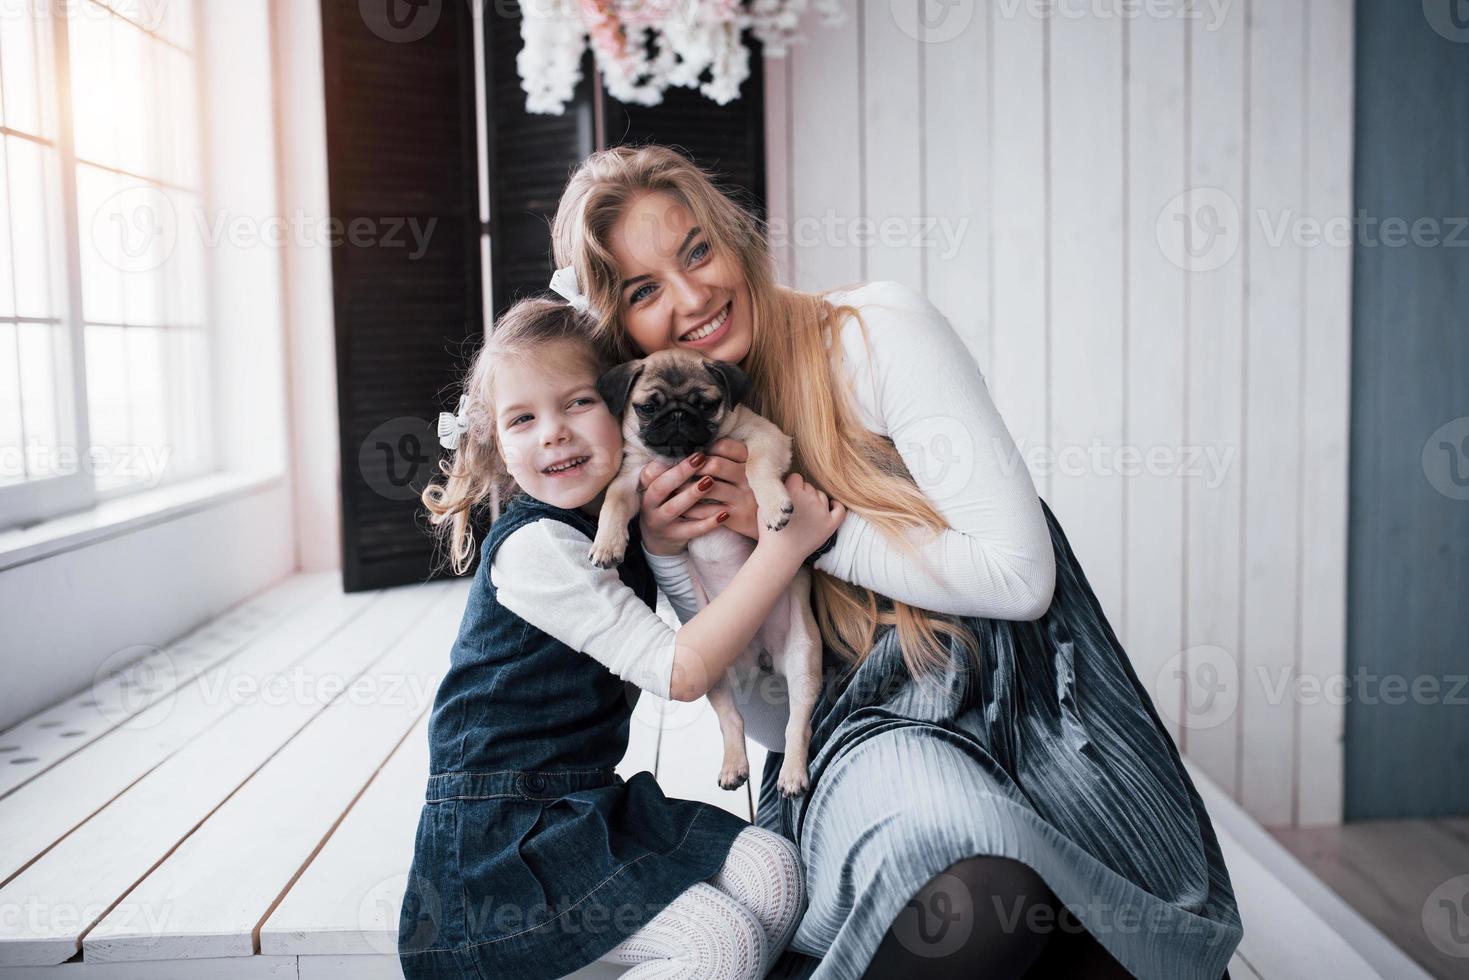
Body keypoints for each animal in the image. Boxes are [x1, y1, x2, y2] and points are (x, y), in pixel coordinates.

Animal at [587, 348, 822, 799]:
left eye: (706, 403)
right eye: (647, 407)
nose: (678, 415)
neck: (682, 457)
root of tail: (761, 655)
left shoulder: (765, 438)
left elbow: (755, 469)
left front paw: (772, 507)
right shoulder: (631, 477)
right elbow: (613, 501)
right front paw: (607, 543)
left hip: (804, 660)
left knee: (797, 726)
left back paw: (792, 774)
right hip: (712, 673)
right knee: (732, 719)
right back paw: (733, 766)